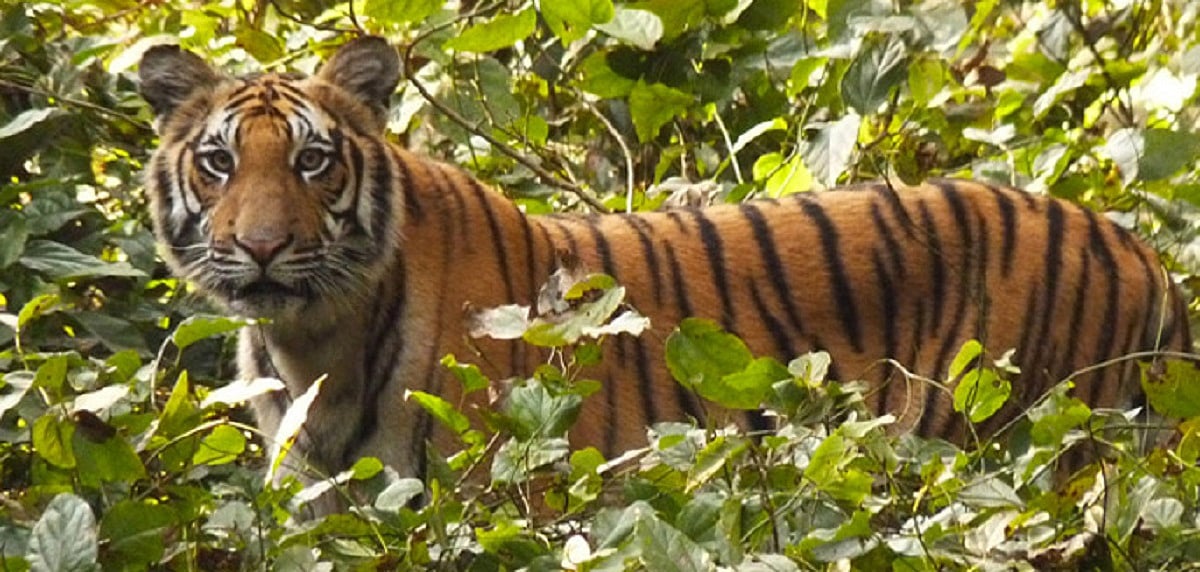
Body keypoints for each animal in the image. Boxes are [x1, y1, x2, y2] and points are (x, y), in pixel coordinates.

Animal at [138, 36, 1192, 499]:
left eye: (313, 161)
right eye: (220, 161)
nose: (262, 248)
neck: (310, 338)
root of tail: (1142, 250)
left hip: (1029, 451)